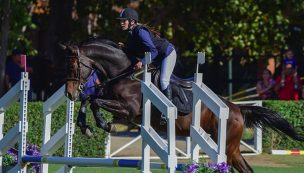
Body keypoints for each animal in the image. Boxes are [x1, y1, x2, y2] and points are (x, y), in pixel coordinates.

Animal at [61, 37, 304, 172]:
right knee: (246, 169)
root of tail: (236, 109)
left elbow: (96, 101)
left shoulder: (129, 111)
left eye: (73, 66)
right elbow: (90, 99)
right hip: (232, 148)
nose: (69, 93)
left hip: (227, 146)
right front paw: (84, 126)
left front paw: (103, 124)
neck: (125, 74)